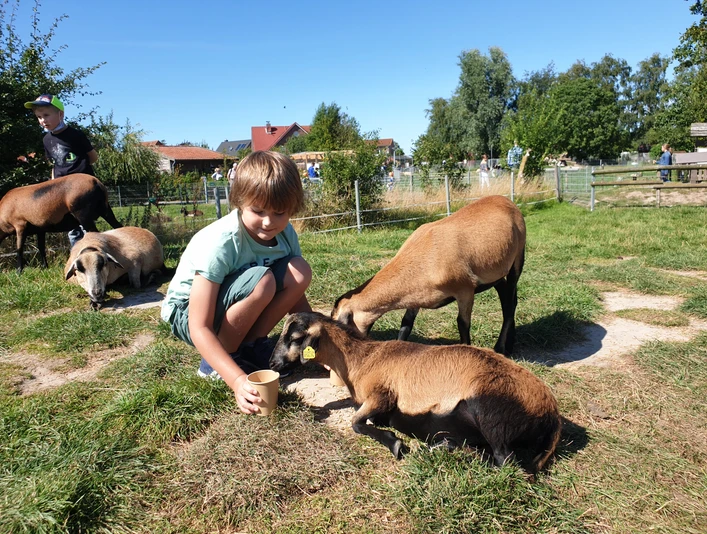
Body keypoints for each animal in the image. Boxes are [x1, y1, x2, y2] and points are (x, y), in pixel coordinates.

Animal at [270, 312, 561, 474]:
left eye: (295, 338)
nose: (273, 364)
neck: (361, 359)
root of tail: (551, 412)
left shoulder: (382, 395)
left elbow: (356, 422)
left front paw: (396, 444)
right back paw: (445, 445)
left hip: (490, 411)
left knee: (506, 462)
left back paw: (444, 450)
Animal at [331, 195, 526, 355]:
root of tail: (506, 200)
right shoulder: (416, 297)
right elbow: (406, 324)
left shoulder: (465, 290)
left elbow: (462, 324)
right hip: (496, 273)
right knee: (507, 299)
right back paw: (510, 343)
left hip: (517, 259)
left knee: (510, 303)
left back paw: (501, 348)